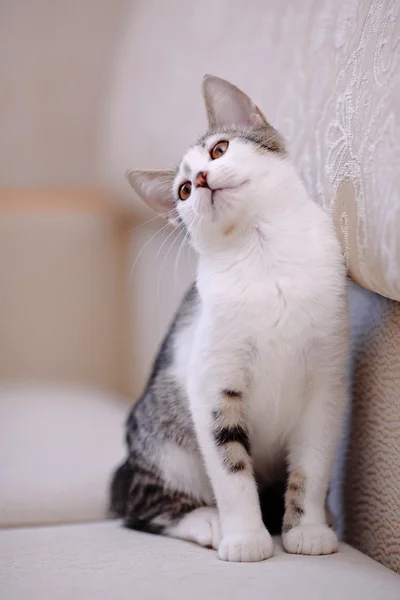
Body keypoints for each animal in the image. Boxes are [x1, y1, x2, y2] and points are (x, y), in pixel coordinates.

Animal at [111, 75, 348, 564]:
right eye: (182, 192)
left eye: (219, 149)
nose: (201, 180)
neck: (264, 254)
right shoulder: (212, 387)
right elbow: (231, 468)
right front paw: (245, 537)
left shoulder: (325, 385)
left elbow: (312, 466)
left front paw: (308, 529)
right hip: (165, 449)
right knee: (140, 505)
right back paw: (207, 521)